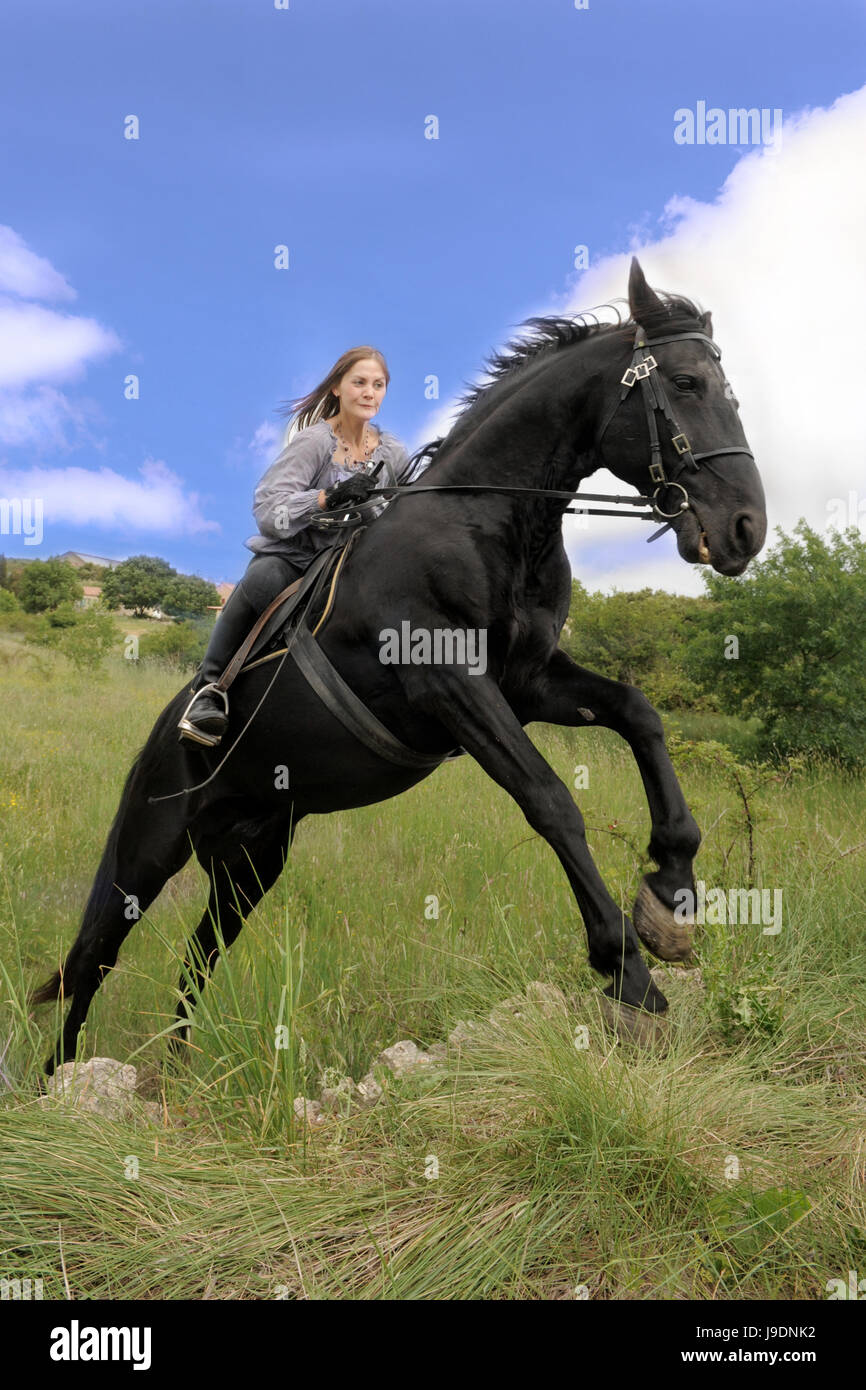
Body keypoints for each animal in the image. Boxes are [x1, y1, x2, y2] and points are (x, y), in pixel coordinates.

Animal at [32, 262, 767, 1073]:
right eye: (687, 383)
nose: (746, 528)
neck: (486, 522)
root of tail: (162, 735)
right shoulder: (451, 686)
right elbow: (549, 799)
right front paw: (627, 969)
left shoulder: (530, 681)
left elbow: (639, 714)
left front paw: (670, 898)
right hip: (148, 852)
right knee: (93, 961)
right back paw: (60, 1077)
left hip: (251, 860)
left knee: (198, 958)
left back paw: (176, 1069)